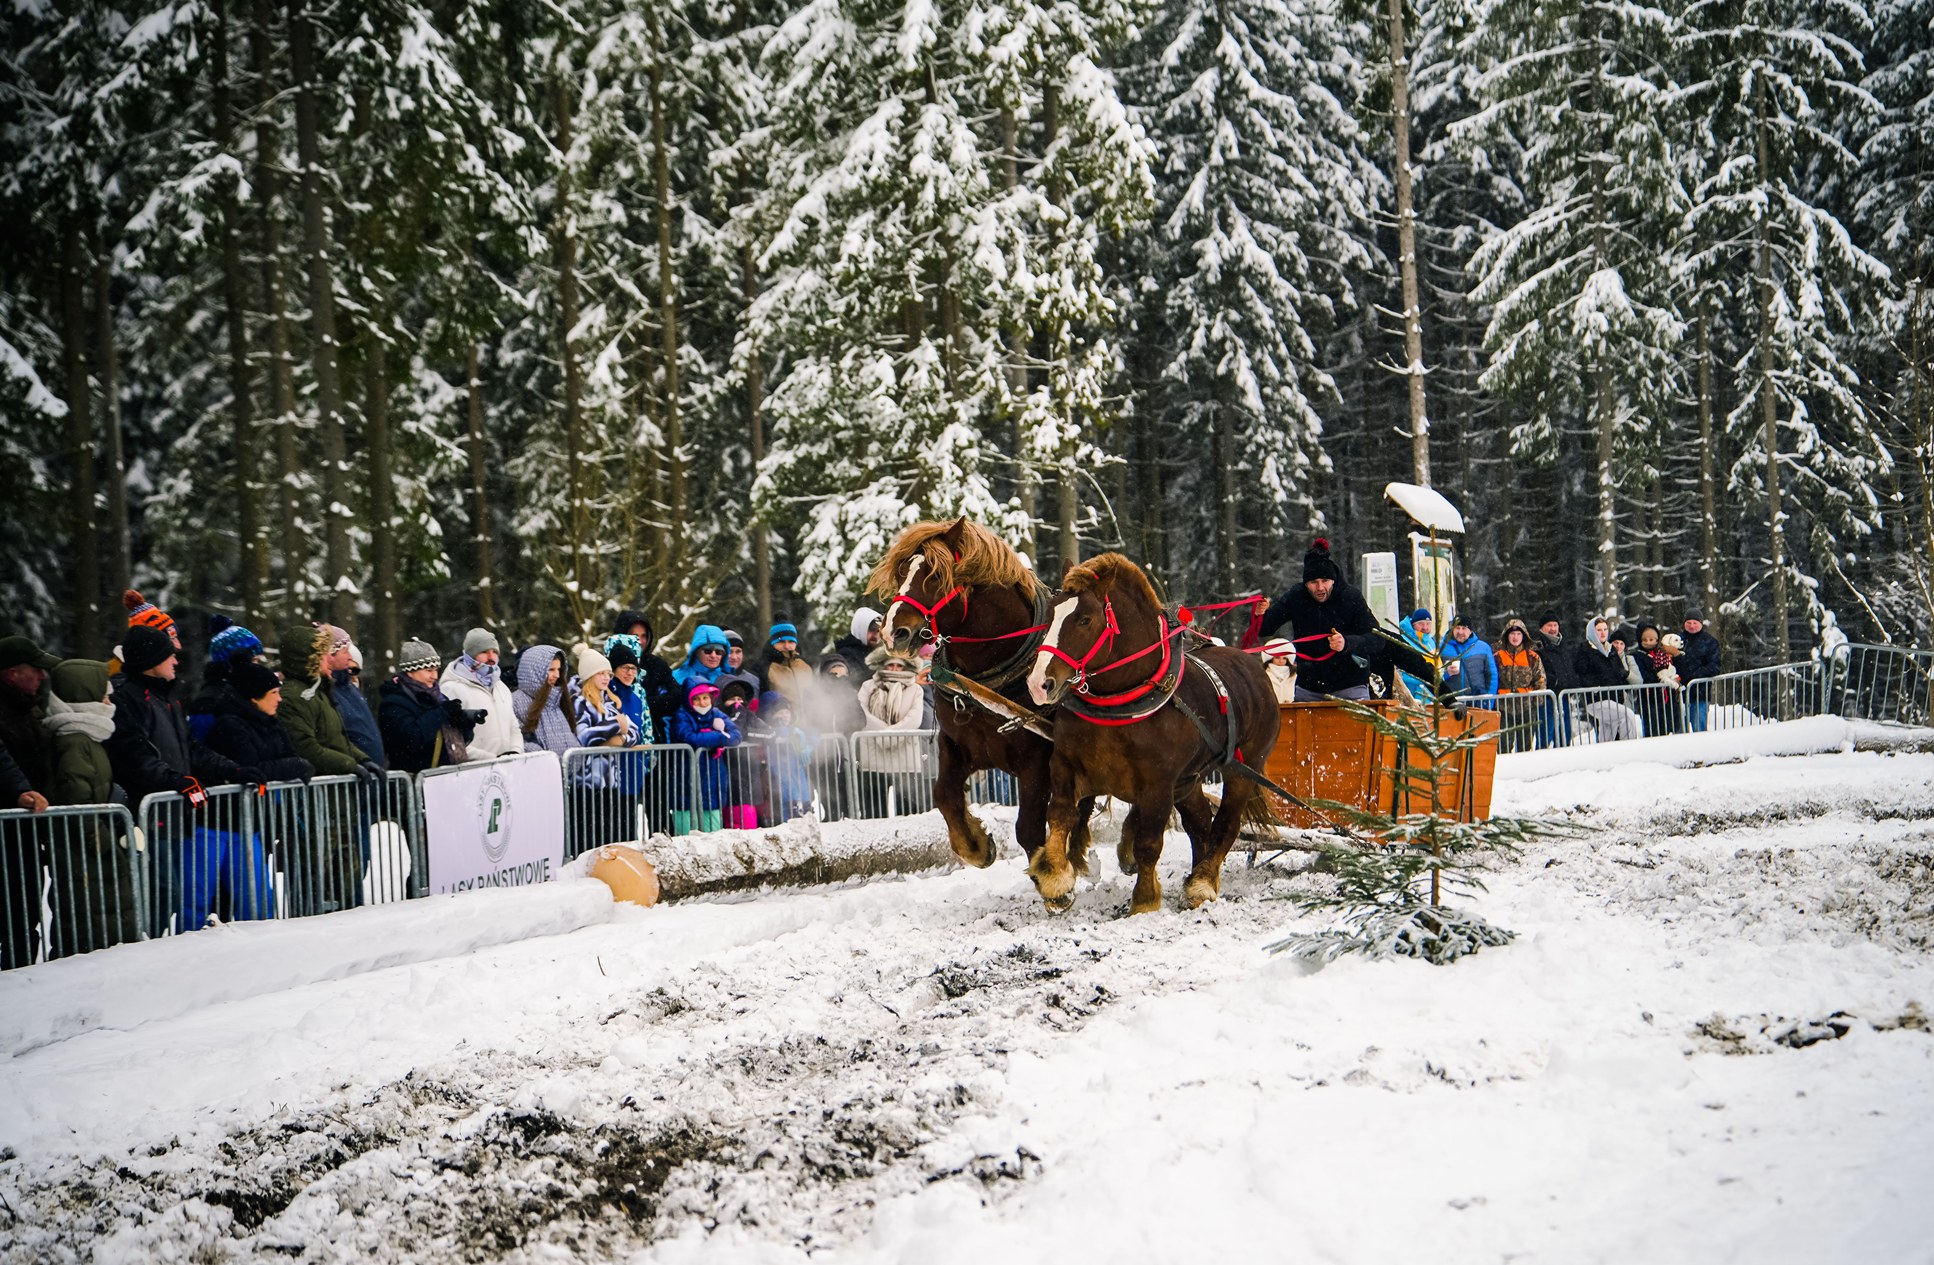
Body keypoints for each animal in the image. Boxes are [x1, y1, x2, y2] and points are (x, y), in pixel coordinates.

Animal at [867, 518, 1096, 872]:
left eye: (935, 576)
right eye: (903, 570)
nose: (893, 632)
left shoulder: (1038, 762)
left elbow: (1029, 830)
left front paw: (1051, 874)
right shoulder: (954, 743)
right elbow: (944, 795)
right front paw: (976, 844)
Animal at [1024, 553, 1281, 915]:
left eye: (1085, 620)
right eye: (1050, 616)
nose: (1039, 683)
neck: (1119, 700)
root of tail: (1253, 665)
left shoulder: (1158, 783)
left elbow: (1148, 843)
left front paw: (1144, 900)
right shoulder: (1066, 765)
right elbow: (1060, 815)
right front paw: (1055, 879)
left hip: (1244, 767)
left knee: (1226, 825)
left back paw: (1203, 883)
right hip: (1188, 780)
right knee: (1200, 823)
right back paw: (1198, 877)